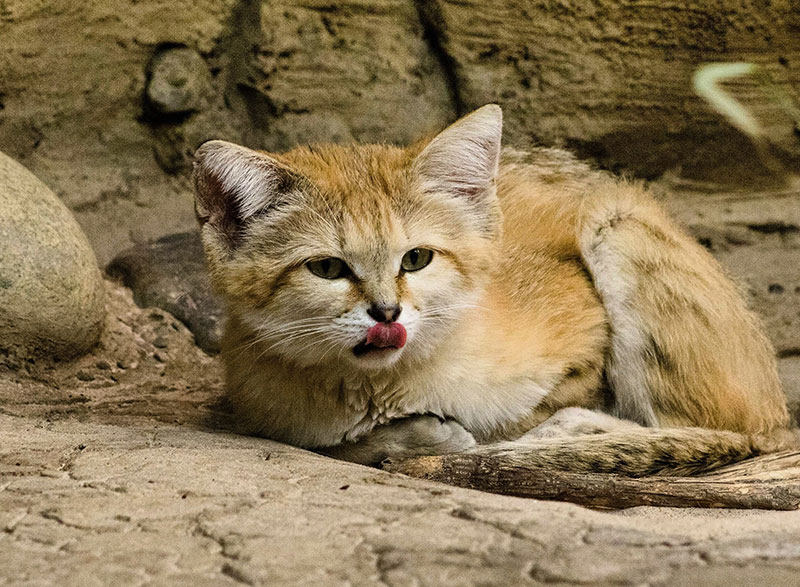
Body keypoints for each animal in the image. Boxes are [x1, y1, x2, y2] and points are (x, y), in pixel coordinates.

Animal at [192, 103, 792, 476]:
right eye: (327, 268)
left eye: (416, 258)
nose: (387, 313)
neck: (390, 390)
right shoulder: (270, 417)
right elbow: (342, 444)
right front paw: (412, 437)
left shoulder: (582, 343)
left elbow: (550, 408)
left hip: (617, 224)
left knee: (710, 432)